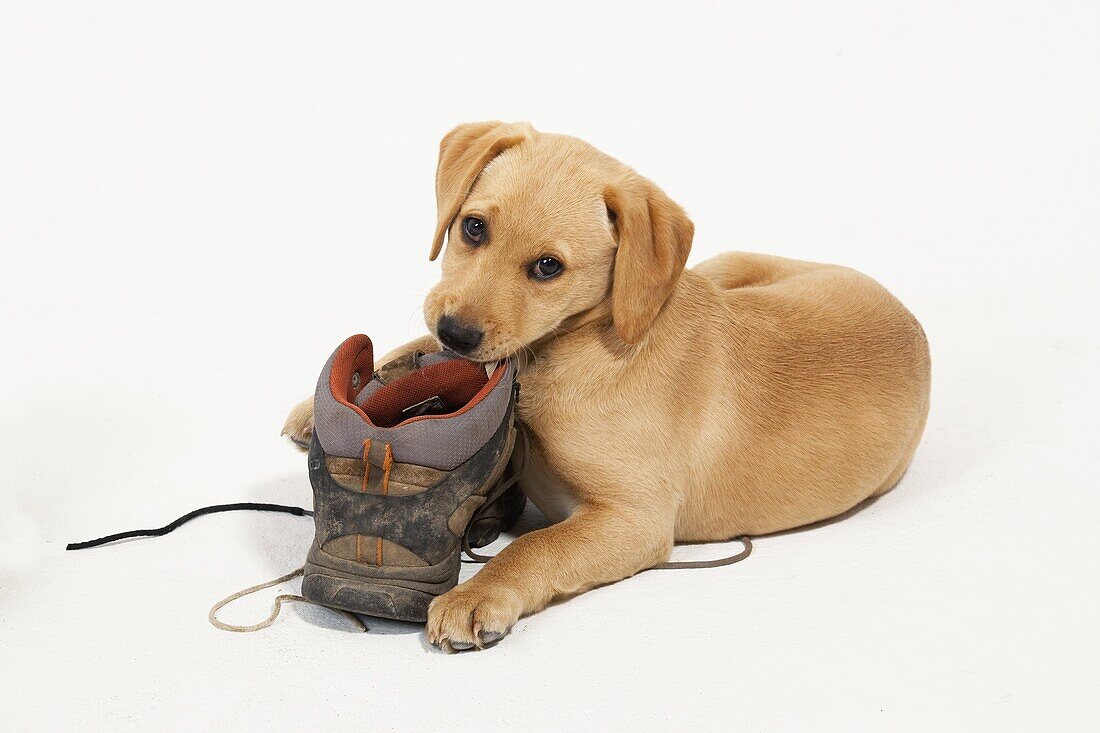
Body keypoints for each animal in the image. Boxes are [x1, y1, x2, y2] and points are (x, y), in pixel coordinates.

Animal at [281, 121, 928, 651]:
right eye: (473, 227)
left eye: (548, 267)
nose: (458, 332)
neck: (565, 353)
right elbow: (422, 351)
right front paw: (325, 405)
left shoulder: (635, 519)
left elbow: (536, 545)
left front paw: (477, 594)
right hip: (720, 266)